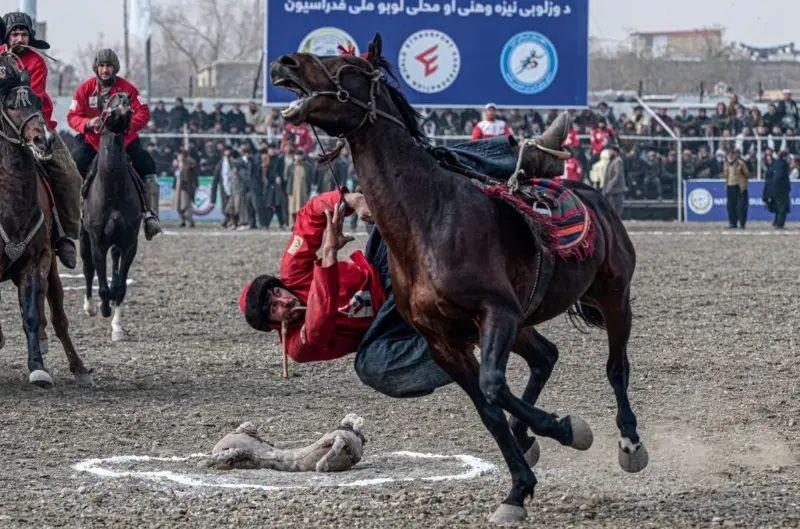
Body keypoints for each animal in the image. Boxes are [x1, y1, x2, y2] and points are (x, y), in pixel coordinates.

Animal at [272, 35, 648, 520]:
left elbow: (493, 384)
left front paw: (567, 429)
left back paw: (629, 442)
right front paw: (518, 489)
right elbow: (488, 408)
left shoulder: (496, 312)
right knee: (546, 356)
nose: (285, 62)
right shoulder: (444, 340)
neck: (430, 219)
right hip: (524, 321)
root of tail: (593, 197)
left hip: (613, 294)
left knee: (616, 367)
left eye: (349, 67)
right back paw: (527, 440)